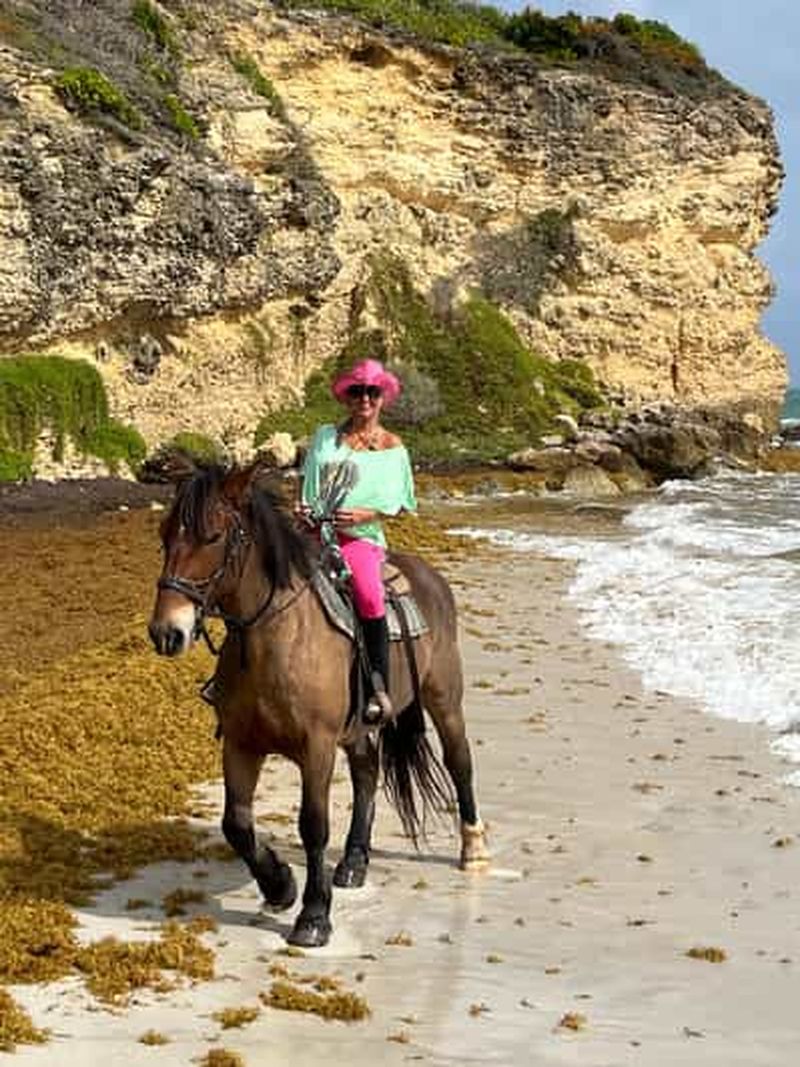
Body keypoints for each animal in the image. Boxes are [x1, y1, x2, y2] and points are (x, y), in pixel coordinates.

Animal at [148, 457, 489, 947]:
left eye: (212, 536)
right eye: (164, 534)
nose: (167, 632)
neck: (275, 638)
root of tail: (429, 577)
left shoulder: (317, 746)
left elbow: (313, 825)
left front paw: (312, 915)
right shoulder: (240, 743)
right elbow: (236, 823)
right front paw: (280, 886)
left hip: (444, 700)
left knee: (459, 762)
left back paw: (473, 848)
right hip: (361, 726)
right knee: (368, 773)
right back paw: (354, 861)